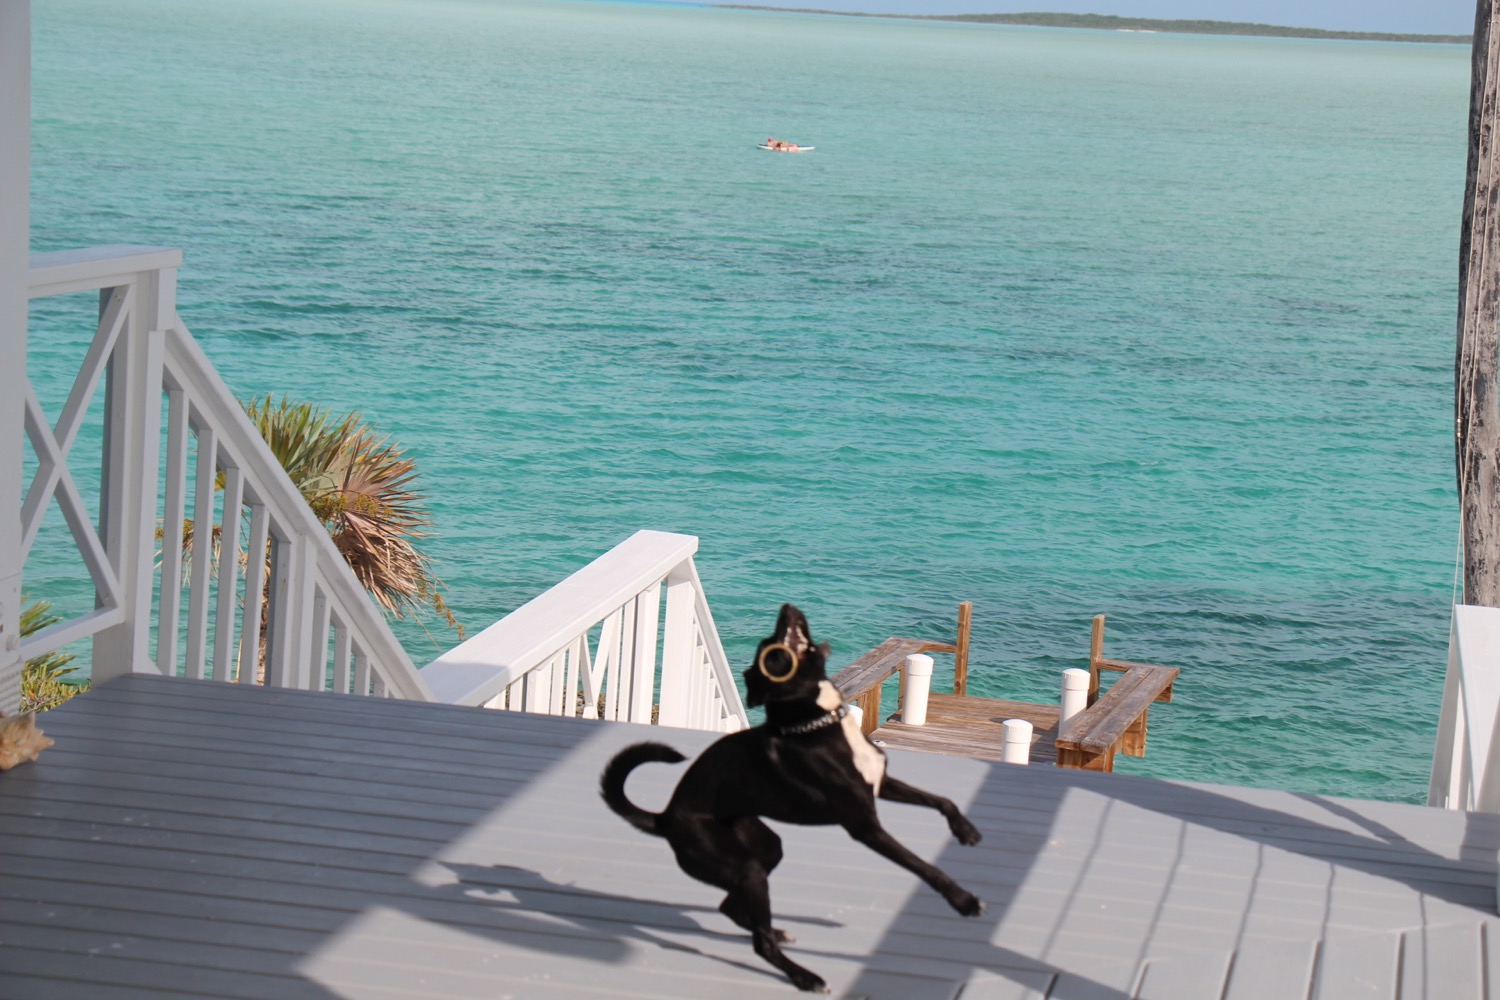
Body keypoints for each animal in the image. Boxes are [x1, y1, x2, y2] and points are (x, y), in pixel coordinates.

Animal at [600, 603, 984, 993]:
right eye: (769, 648)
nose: (787, 607)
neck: (819, 724)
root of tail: (665, 816)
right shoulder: (865, 826)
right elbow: (925, 866)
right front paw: (963, 901)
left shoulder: (881, 782)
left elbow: (942, 799)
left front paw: (965, 831)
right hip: (739, 863)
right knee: (760, 942)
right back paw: (805, 976)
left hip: (764, 847)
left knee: (731, 906)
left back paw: (778, 932)